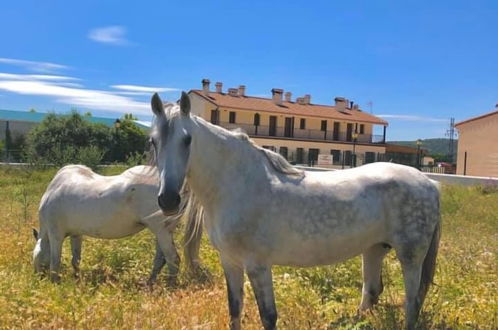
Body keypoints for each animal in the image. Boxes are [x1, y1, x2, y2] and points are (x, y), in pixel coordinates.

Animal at [32, 165, 202, 284]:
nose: (38, 278)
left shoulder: (55, 235)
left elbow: (55, 261)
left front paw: (55, 281)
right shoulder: (76, 234)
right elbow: (76, 259)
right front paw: (76, 277)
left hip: (162, 231)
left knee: (173, 259)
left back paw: (169, 286)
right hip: (162, 233)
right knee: (161, 259)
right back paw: (150, 282)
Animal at [150, 91, 442, 330]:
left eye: (187, 139)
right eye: (153, 141)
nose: (168, 200)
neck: (237, 183)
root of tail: (429, 182)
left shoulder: (258, 265)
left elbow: (268, 316)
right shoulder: (230, 262)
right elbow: (235, 310)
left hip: (410, 257)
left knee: (411, 302)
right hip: (373, 249)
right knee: (371, 292)